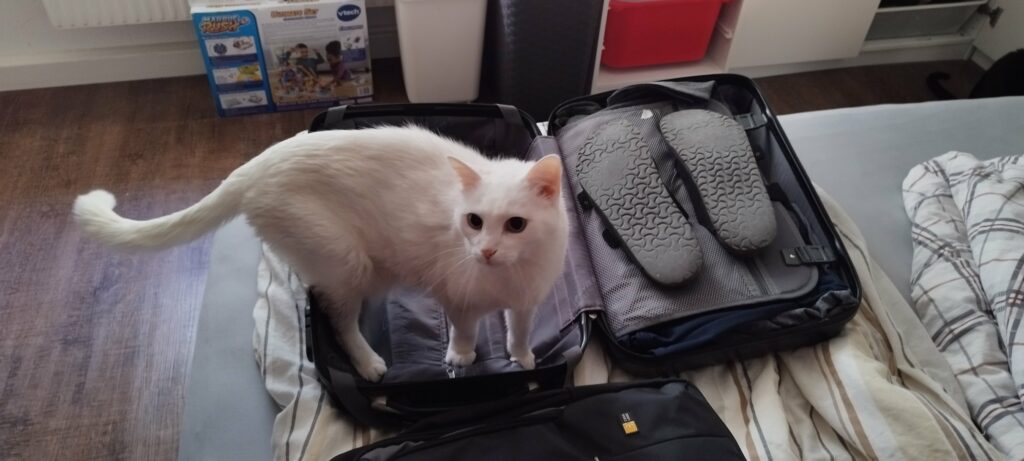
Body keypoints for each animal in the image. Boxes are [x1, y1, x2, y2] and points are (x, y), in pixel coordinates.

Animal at [73, 125, 570, 382]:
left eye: (516, 225)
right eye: (473, 221)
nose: (485, 251)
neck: (509, 274)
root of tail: (255, 164)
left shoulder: (527, 301)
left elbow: (519, 331)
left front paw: (524, 359)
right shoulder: (458, 300)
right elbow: (465, 332)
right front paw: (463, 358)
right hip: (347, 263)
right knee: (336, 319)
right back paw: (368, 363)